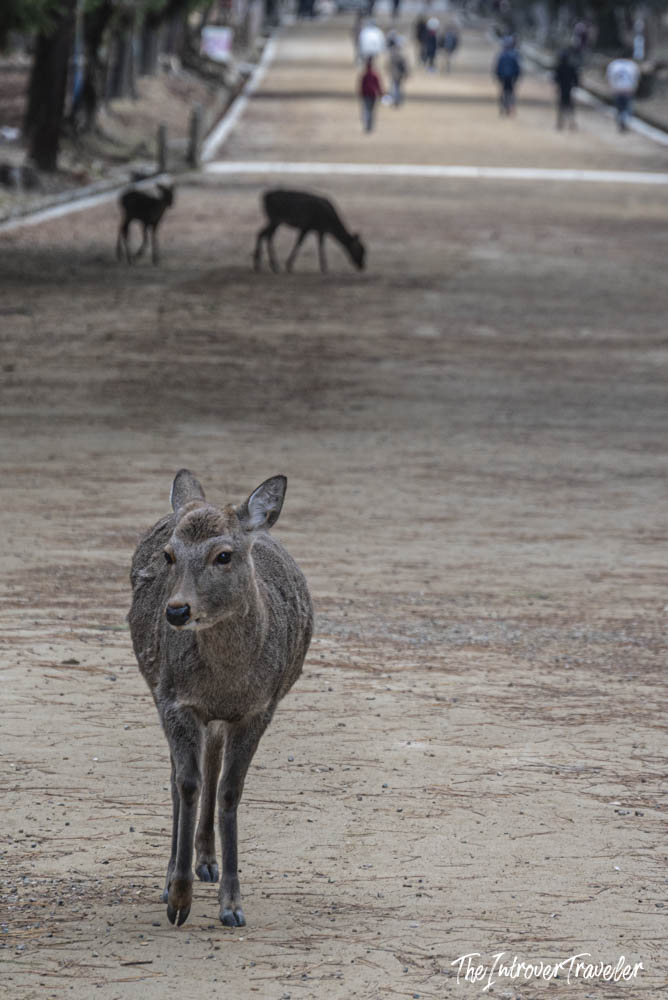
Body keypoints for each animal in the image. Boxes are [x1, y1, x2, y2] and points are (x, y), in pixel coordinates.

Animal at [128, 471, 313, 928]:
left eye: (223, 555)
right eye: (169, 555)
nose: (176, 611)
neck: (227, 682)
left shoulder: (258, 709)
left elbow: (230, 790)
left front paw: (231, 904)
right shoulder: (176, 702)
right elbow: (186, 783)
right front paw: (178, 897)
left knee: (211, 766)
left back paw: (208, 862)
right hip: (161, 691)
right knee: (181, 775)